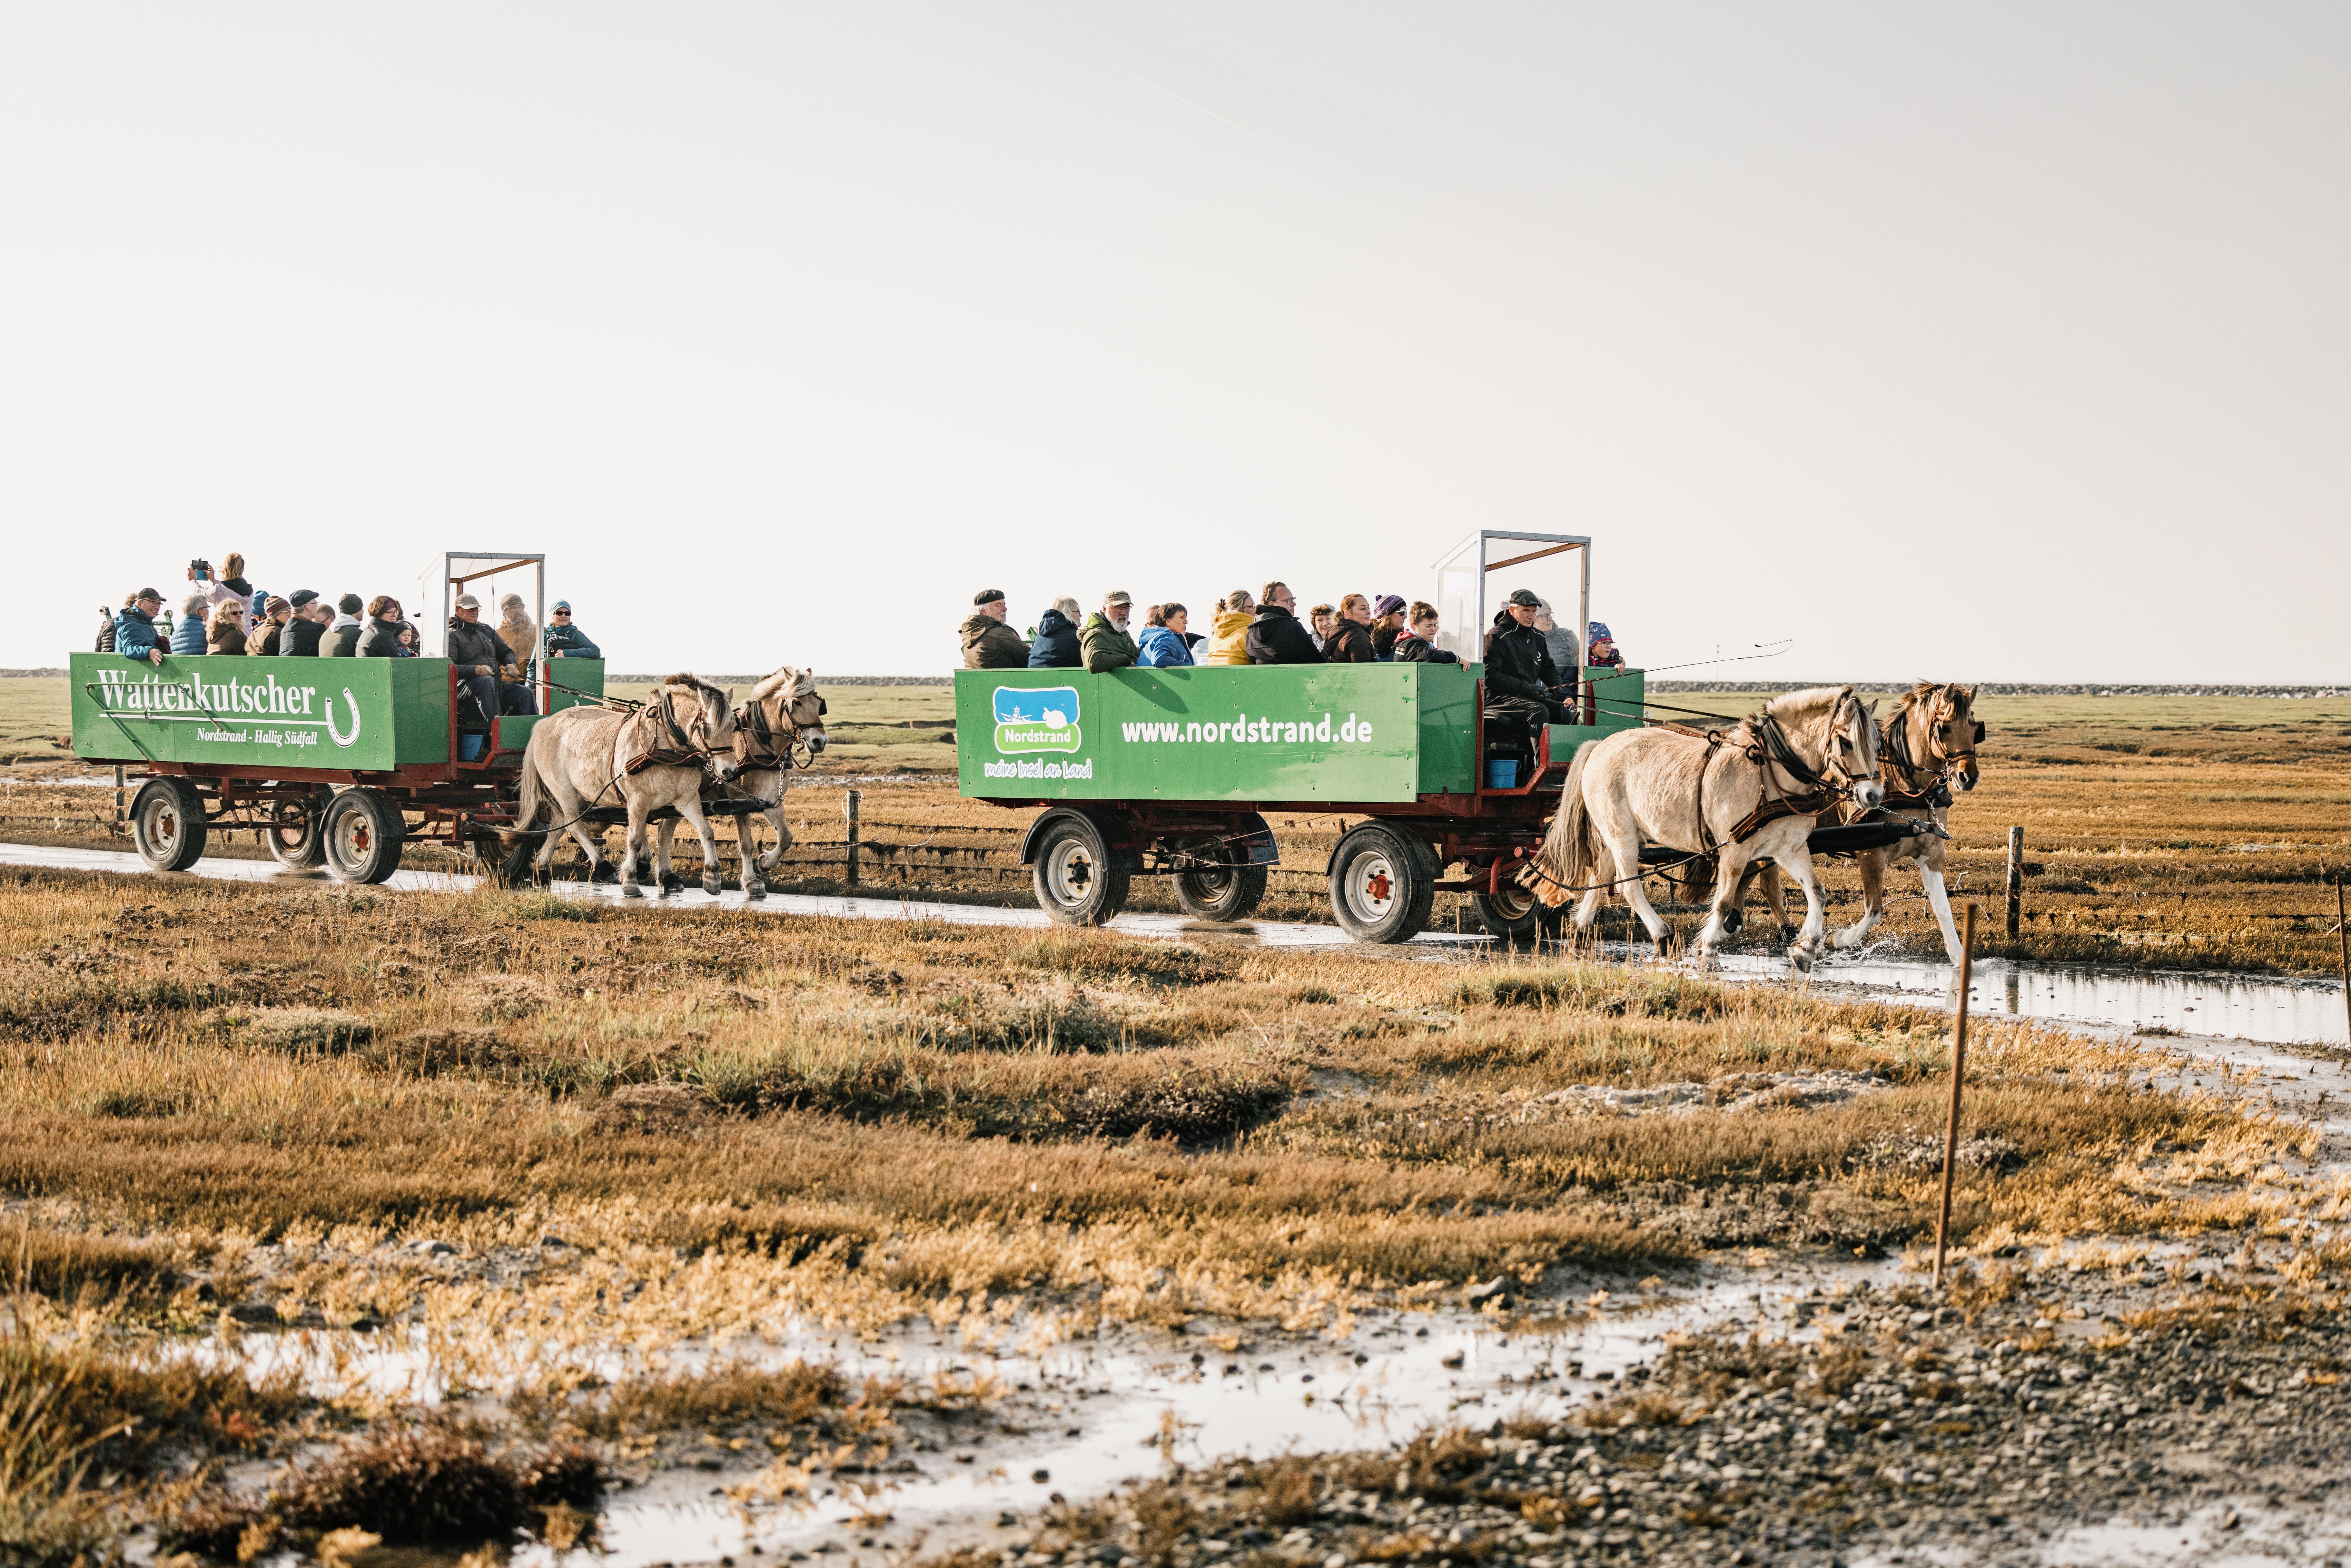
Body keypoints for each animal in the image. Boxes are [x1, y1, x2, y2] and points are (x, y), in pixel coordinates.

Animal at [517, 672, 738, 893]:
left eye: (734, 726)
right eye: (708, 727)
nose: (729, 770)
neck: (667, 744)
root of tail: (545, 723)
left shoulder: (686, 799)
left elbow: (706, 832)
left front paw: (712, 877)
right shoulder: (639, 800)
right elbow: (634, 841)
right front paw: (631, 881)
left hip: (574, 794)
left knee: (559, 826)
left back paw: (542, 872)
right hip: (564, 791)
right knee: (574, 827)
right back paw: (603, 866)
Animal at [649, 663, 832, 902]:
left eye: (819, 704)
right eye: (797, 703)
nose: (820, 741)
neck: (761, 744)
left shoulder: (769, 800)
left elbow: (786, 837)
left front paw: (765, 863)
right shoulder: (742, 803)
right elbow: (747, 844)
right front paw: (753, 882)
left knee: (664, 832)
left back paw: (667, 879)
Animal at [1523, 686, 1890, 968]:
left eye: (1877, 744)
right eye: (1846, 742)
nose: (1873, 795)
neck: (1771, 775)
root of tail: (1598, 745)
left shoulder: (1790, 849)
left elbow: (1816, 892)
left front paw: (1806, 946)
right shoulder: (1735, 850)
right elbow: (1725, 902)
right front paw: (1709, 948)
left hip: (1616, 835)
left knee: (1600, 876)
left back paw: (1579, 933)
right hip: (1621, 834)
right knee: (1629, 887)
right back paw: (1662, 936)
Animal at [1730, 682, 1984, 964]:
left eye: (1974, 727)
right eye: (1945, 727)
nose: (1968, 777)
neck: (1906, 784)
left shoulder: (1932, 853)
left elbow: (1943, 908)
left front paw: (1960, 958)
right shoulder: (1870, 852)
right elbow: (1874, 911)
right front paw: (1835, 939)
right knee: (1766, 885)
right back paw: (1780, 930)